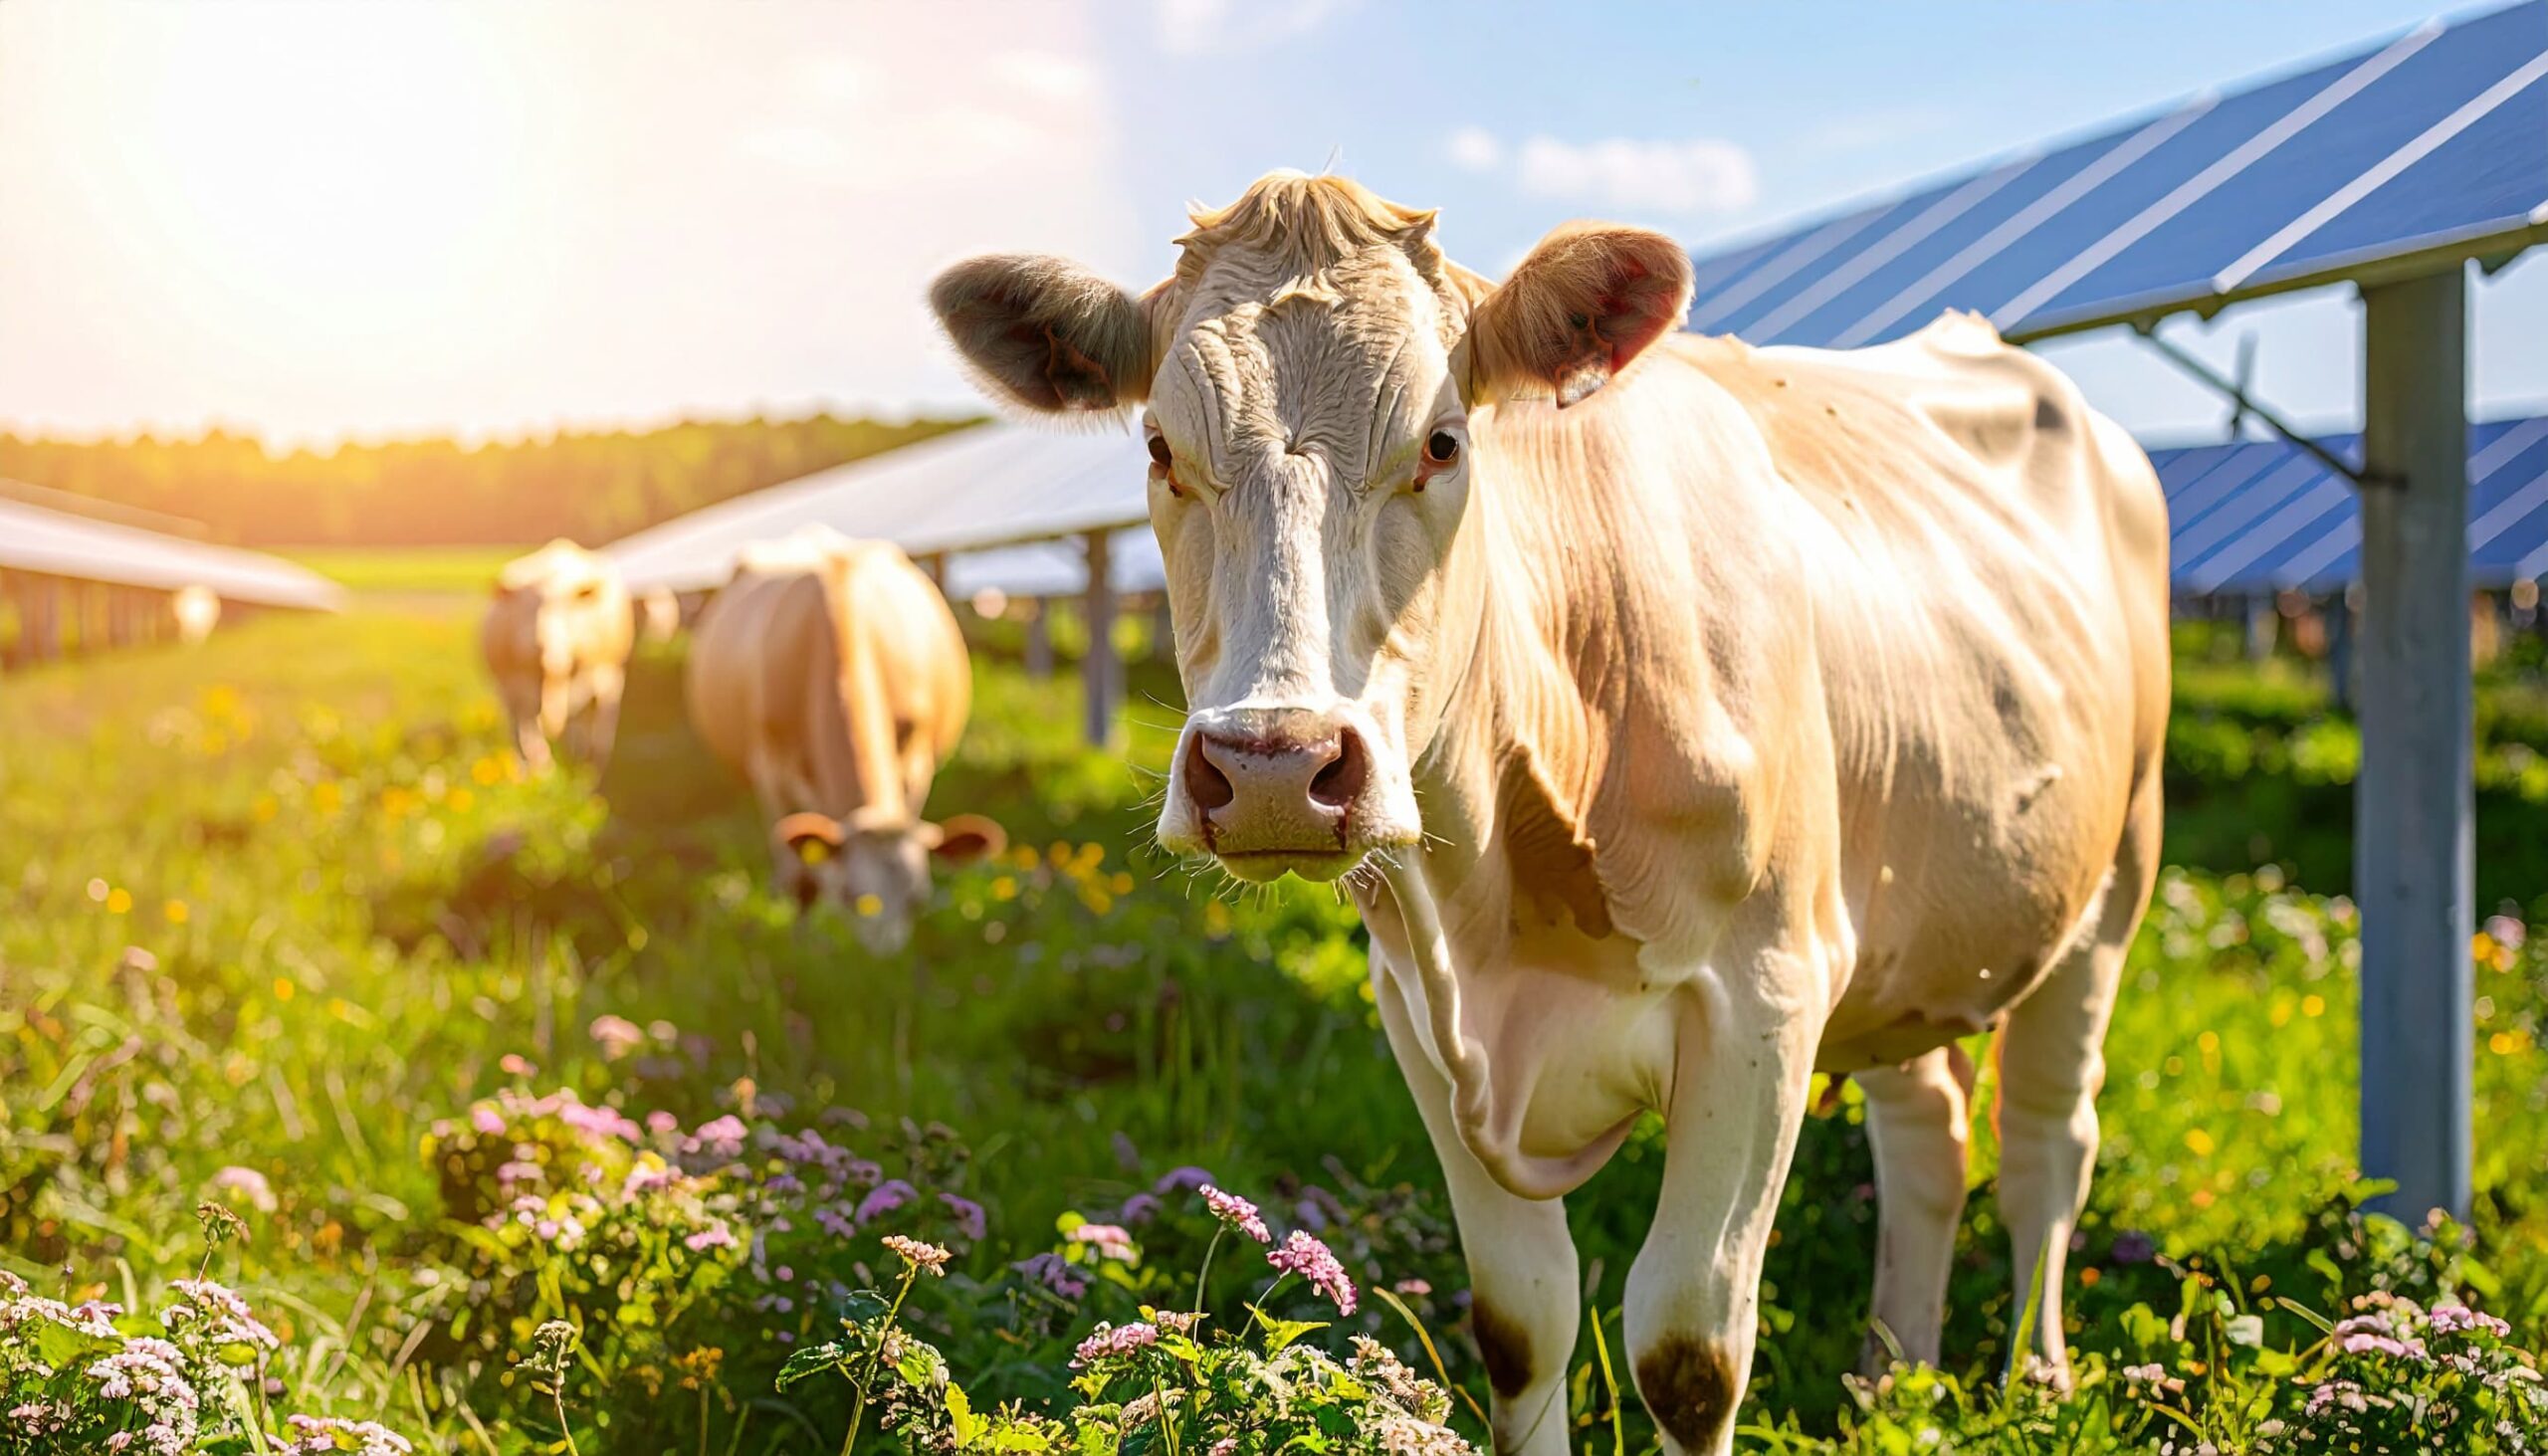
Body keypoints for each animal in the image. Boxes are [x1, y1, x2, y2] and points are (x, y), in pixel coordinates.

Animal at [481, 540, 635, 775]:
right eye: (525, 608)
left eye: (563, 609)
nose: (541, 644)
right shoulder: (511, 686)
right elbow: (526, 726)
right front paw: (538, 766)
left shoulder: (588, 677)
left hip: (611, 674)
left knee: (596, 722)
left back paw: (587, 764)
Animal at [684, 527, 1003, 954]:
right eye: (851, 896)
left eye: (917, 900)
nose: (883, 961)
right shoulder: (771, 771)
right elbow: (800, 878)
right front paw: (804, 948)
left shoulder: (917, 767)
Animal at [931, 171, 2168, 1454]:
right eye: (1160, 448)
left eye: (1441, 441)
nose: (1274, 763)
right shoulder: (1416, 1012)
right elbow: (1520, 1319)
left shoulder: (1763, 997)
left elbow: (1687, 1346)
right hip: (1904, 928)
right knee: (1927, 1130)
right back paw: (1893, 1380)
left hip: (2112, 879)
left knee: (2046, 1142)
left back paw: (2038, 1378)